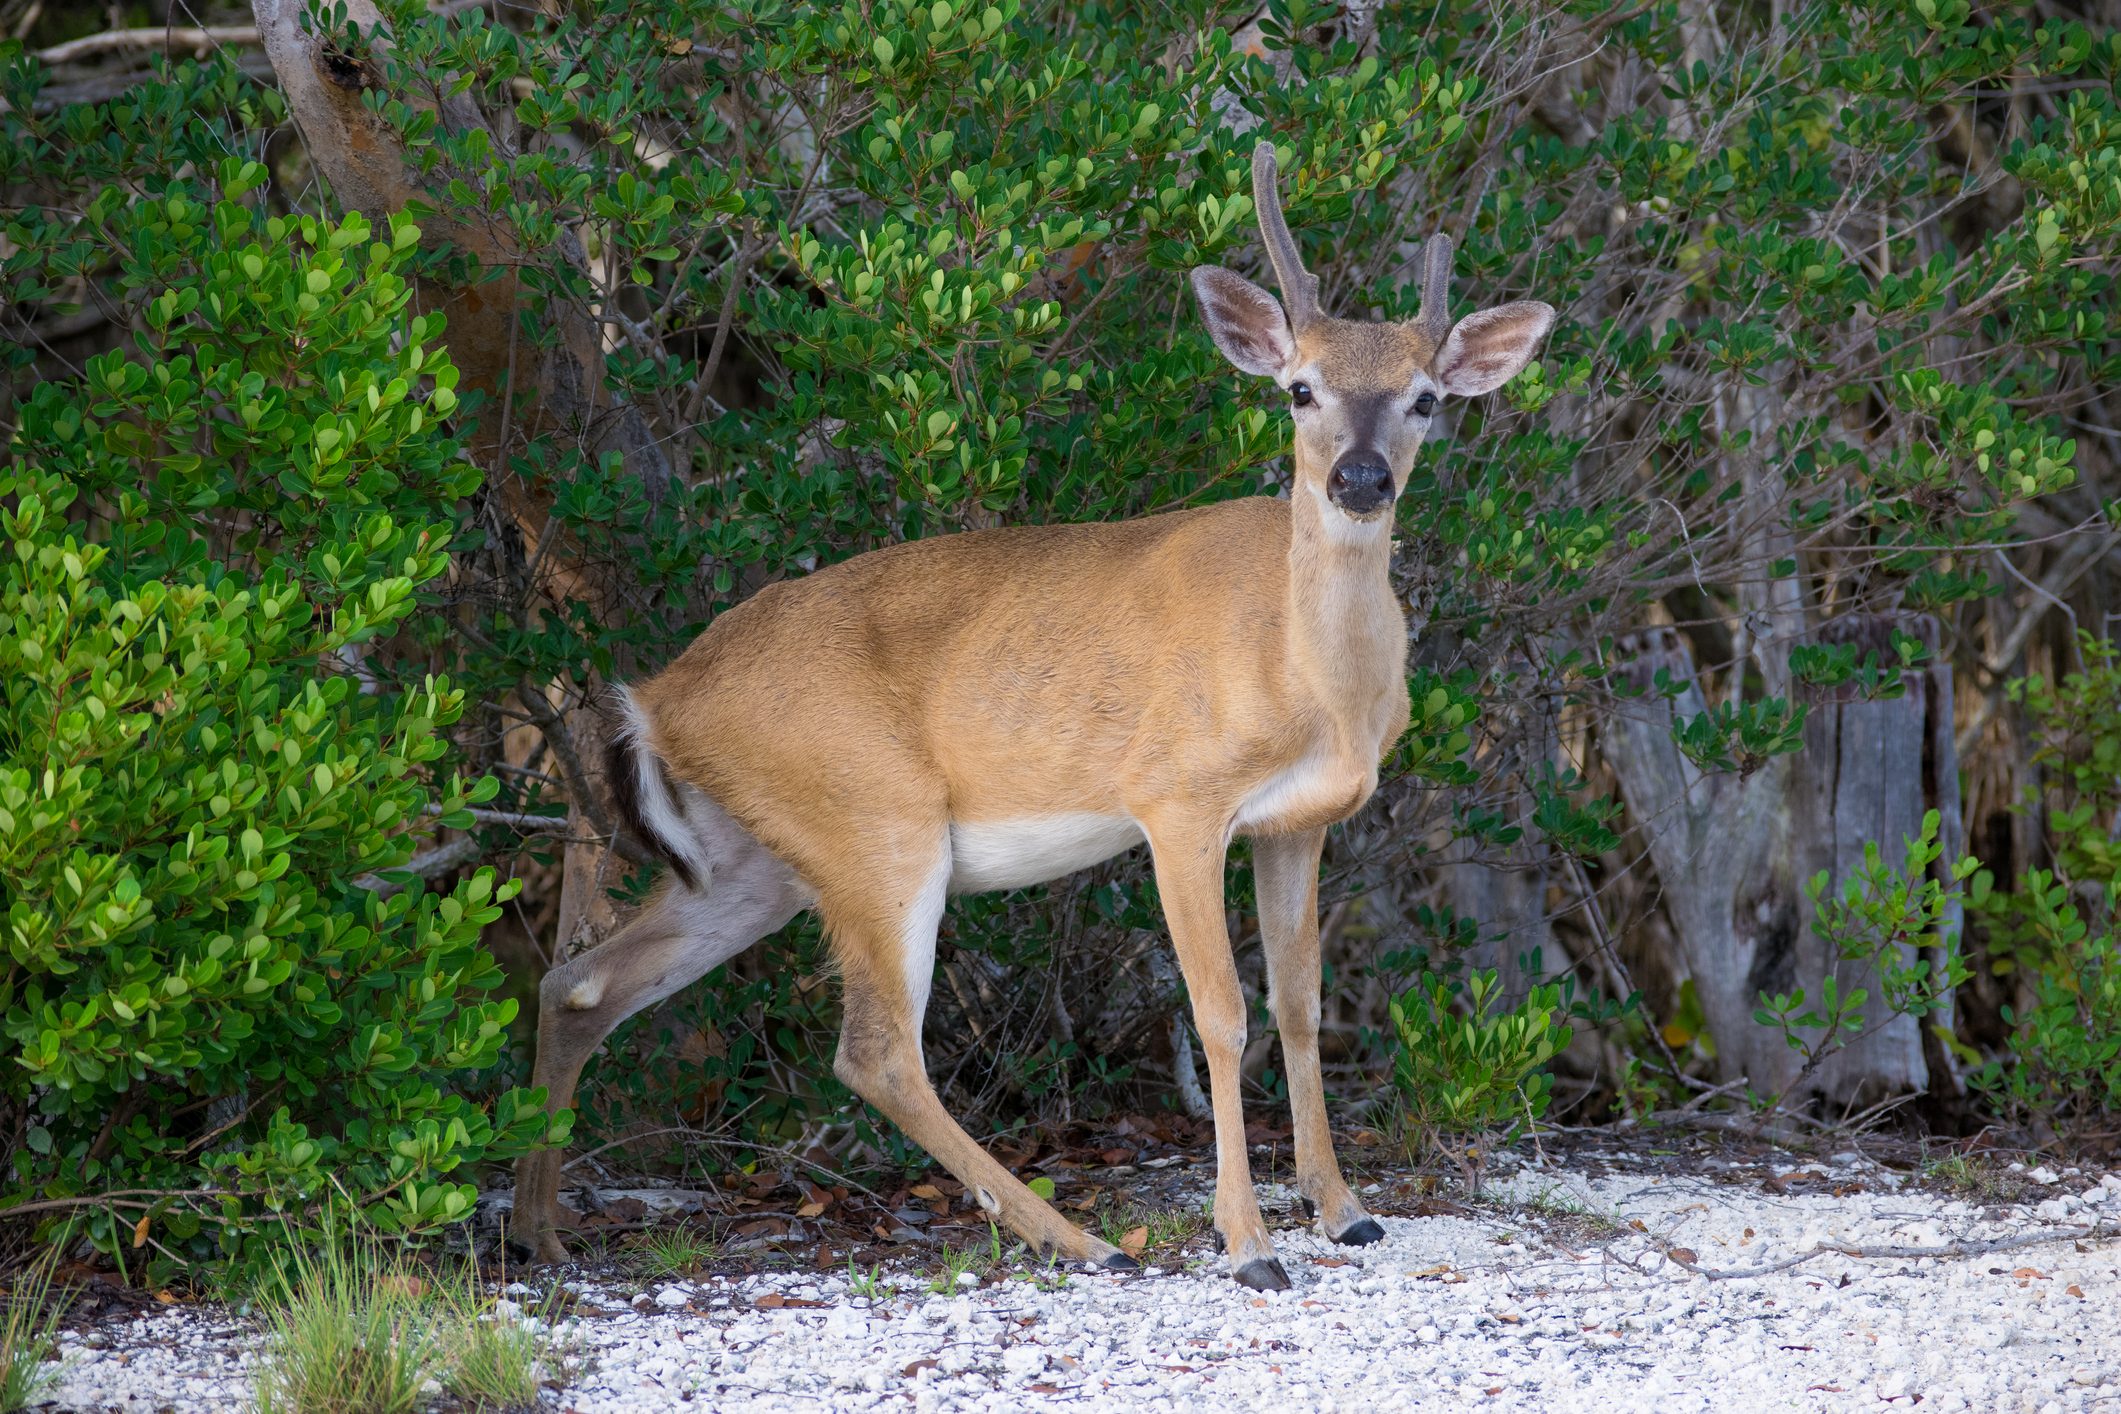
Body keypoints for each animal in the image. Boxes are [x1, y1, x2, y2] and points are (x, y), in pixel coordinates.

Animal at [504, 144, 1552, 1297]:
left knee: (581, 981)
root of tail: (655, 698)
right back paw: (1076, 1235)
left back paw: (543, 1233)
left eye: (1425, 400)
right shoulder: (1174, 797)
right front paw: (1249, 1244)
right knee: (874, 1049)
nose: (1358, 478)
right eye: (1298, 388)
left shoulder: (1299, 821)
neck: (1305, 676)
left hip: (755, 859)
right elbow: (1222, 1013)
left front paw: (1346, 1211)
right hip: (877, 821)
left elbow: (1300, 1005)